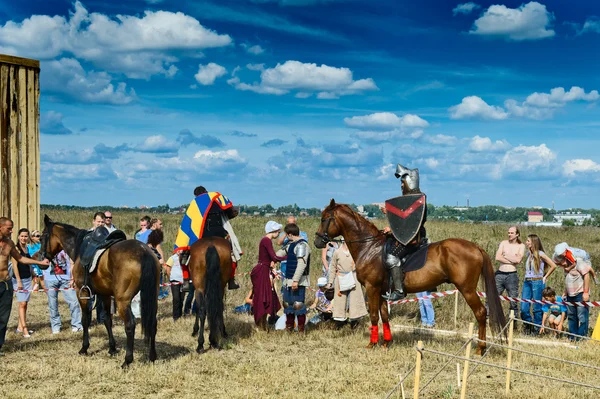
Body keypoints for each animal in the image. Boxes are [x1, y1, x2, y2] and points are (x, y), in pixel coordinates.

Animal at [40, 216, 161, 368]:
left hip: (123, 301)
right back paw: (152, 356)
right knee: (153, 323)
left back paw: (127, 360)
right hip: (152, 298)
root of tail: (143, 250)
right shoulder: (105, 294)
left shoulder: (82, 293)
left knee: (130, 325)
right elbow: (107, 320)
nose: (41, 258)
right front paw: (112, 348)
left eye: (42, 237)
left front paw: (84, 347)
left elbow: (85, 319)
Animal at [314, 202, 506, 354]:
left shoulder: (372, 288)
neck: (369, 247)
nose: (317, 242)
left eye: (324, 219)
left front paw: (372, 344)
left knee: (481, 313)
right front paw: (386, 343)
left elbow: (374, 316)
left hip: (467, 289)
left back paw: (480, 348)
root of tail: (475, 247)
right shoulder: (382, 291)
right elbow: (385, 316)